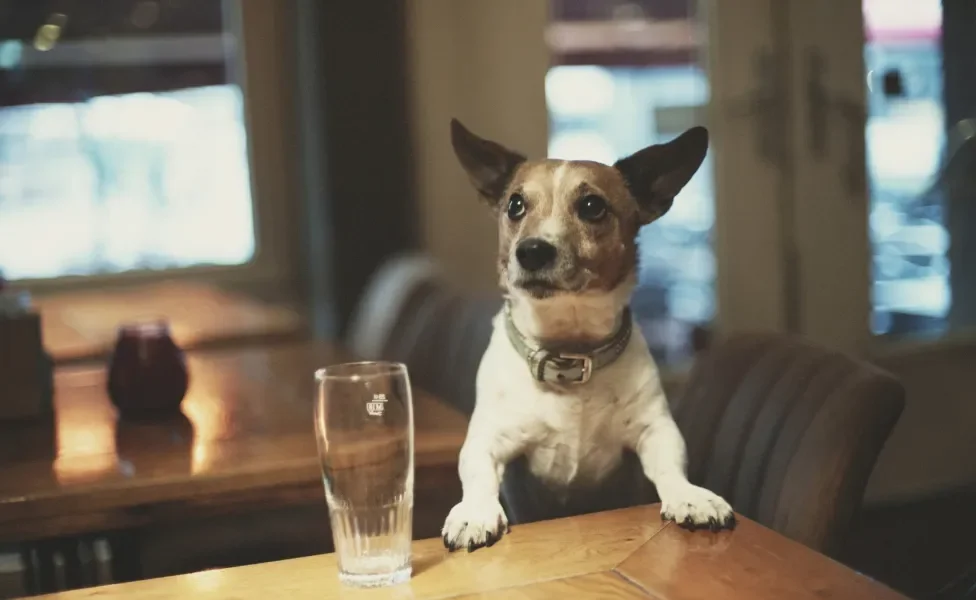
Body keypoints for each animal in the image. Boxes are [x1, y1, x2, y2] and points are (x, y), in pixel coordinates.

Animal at [440, 118, 732, 552]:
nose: (531, 251)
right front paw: (474, 512)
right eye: (515, 205)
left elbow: (670, 465)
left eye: (593, 206)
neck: (568, 351)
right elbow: (477, 472)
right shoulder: (488, 437)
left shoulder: (656, 429)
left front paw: (691, 496)